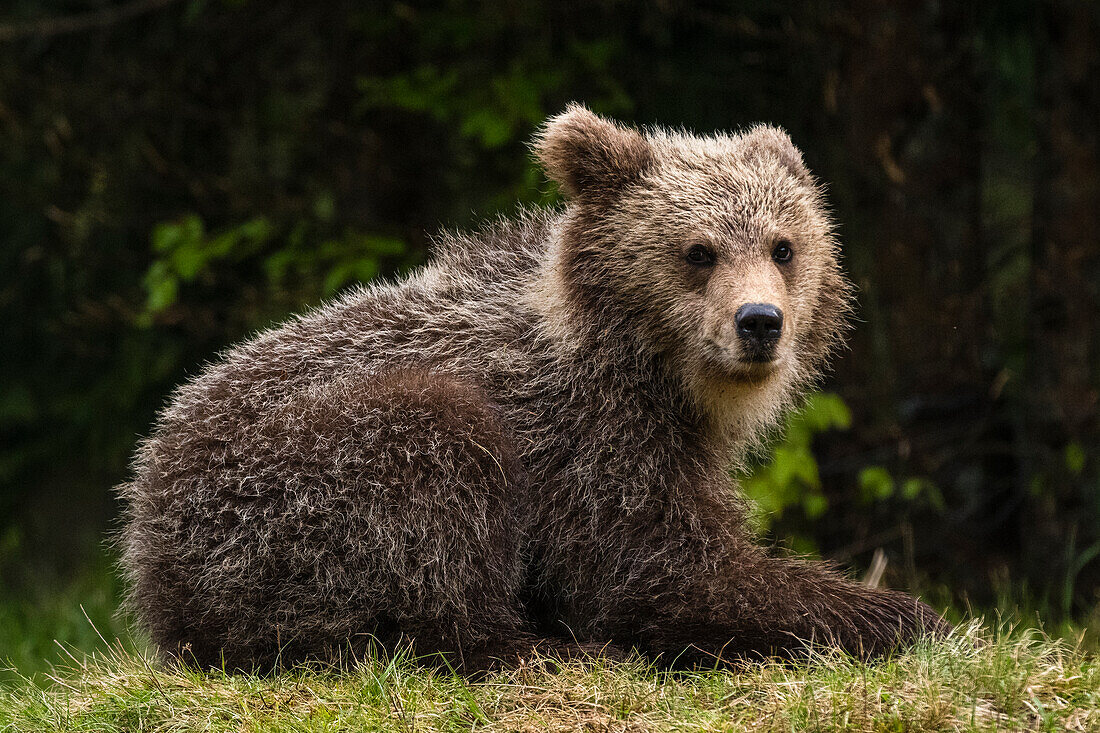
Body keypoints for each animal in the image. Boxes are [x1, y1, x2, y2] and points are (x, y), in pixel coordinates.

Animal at [118, 102, 946, 669]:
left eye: (784, 246)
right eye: (698, 251)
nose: (760, 322)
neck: (663, 378)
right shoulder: (586, 436)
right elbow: (659, 574)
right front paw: (906, 613)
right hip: (276, 494)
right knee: (435, 464)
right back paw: (537, 642)